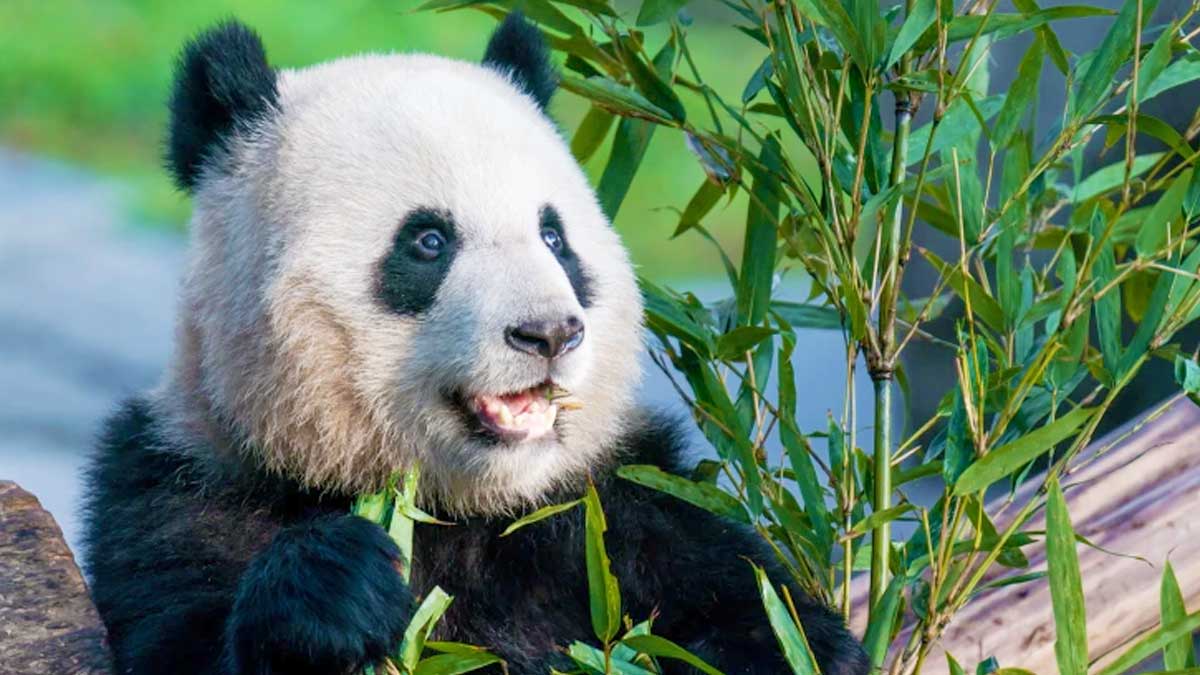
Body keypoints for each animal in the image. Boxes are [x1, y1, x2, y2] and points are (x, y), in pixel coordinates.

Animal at [82, 14, 869, 675]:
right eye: (429, 241)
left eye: (553, 237)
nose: (550, 332)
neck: (466, 507)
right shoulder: (183, 492)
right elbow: (182, 636)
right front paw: (336, 588)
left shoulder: (624, 503)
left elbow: (767, 616)